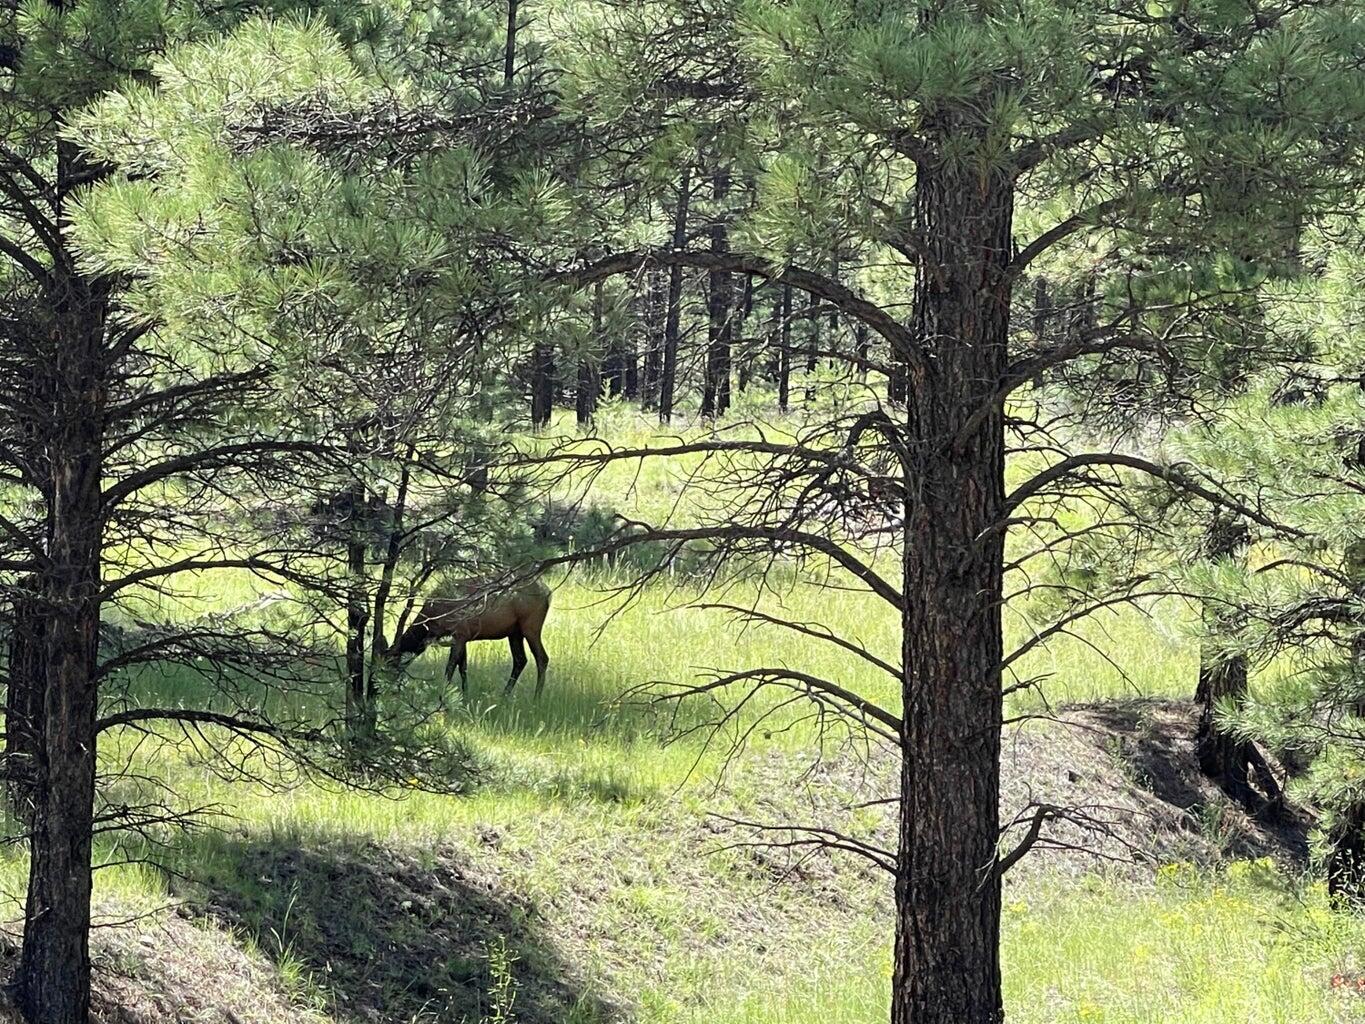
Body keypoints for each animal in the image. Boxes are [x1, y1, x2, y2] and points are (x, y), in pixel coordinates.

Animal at [393, 578, 551, 699]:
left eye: (390, 660)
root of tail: (548, 593)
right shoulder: (462, 637)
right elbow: (463, 667)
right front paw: (465, 696)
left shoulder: (460, 633)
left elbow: (450, 667)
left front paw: (443, 696)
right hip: (514, 633)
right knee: (520, 659)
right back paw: (504, 696)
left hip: (531, 626)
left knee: (542, 658)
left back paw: (536, 698)